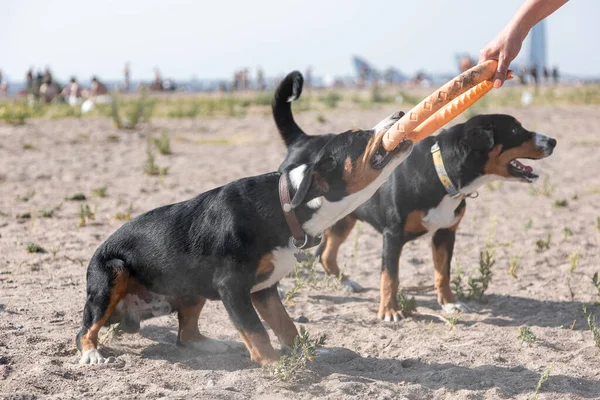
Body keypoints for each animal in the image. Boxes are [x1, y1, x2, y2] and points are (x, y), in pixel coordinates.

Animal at [274, 71, 556, 322]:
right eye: (516, 131)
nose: (552, 141)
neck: (441, 173)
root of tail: (302, 139)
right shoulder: (392, 235)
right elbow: (390, 276)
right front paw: (390, 311)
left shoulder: (445, 233)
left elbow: (443, 273)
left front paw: (449, 303)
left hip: (343, 219)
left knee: (326, 254)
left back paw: (346, 283)